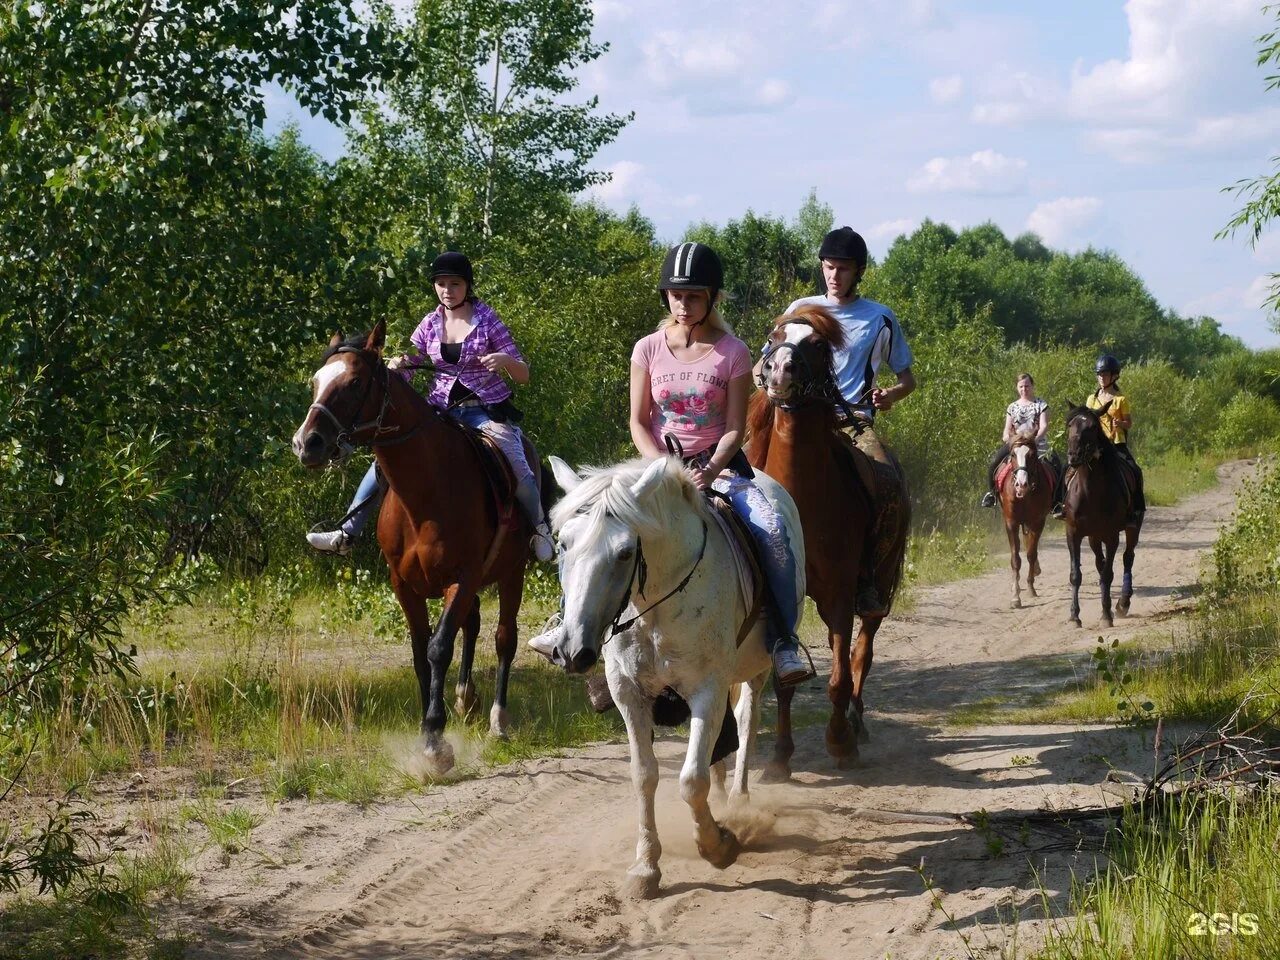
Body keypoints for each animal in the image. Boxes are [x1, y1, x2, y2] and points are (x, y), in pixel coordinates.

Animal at [294, 323, 545, 773]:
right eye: (315, 382)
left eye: (354, 382)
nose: (307, 444)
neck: (426, 493)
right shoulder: (404, 585)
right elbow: (418, 650)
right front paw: (431, 725)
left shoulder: (462, 578)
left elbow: (438, 647)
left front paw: (434, 740)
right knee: (473, 624)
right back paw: (466, 697)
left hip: (511, 572)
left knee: (504, 637)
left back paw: (498, 719)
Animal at [747, 308, 906, 783]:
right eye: (774, 336)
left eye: (817, 346)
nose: (780, 371)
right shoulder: (784, 600)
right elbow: (783, 683)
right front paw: (779, 758)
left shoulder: (837, 594)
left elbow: (839, 677)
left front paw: (840, 743)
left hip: (878, 590)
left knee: (861, 655)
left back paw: (856, 725)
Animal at [993, 435, 1054, 609]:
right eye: (1013, 455)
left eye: (1031, 455)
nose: (1021, 484)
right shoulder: (1011, 523)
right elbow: (1016, 559)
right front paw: (1015, 596)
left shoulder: (1037, 522)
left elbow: (1031, 554)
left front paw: (1031, 588)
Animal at [1064, 401, 1146, 627]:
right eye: (1070, 425)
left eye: (1093, 427)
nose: (1074, 456)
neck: (1090, 491)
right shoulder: (1073, 533)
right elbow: (1076, 574)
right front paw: (1074, 616)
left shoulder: (1111, 535)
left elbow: (1108, 574)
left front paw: (1107, 615)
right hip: (1093, 536)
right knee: (1100, 563)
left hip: (1132, 528)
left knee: (1128, 557)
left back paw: (1122, 603)